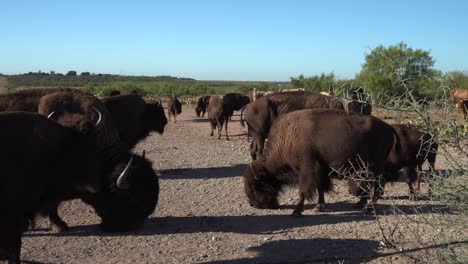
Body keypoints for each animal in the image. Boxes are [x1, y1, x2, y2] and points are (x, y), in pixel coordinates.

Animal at [243, 108, 396, 216]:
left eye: (255, 187)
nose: (252, 204)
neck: (288, 138)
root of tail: (390, 128)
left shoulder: (307, 169)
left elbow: (303, 190)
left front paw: (296, 211)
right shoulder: (321, 169)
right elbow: (321, 187)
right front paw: (318, 206)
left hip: (376, 167)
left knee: (378, 186)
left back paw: (369, 209)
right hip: (368, 167)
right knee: (370, 185)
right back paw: (360, 204)